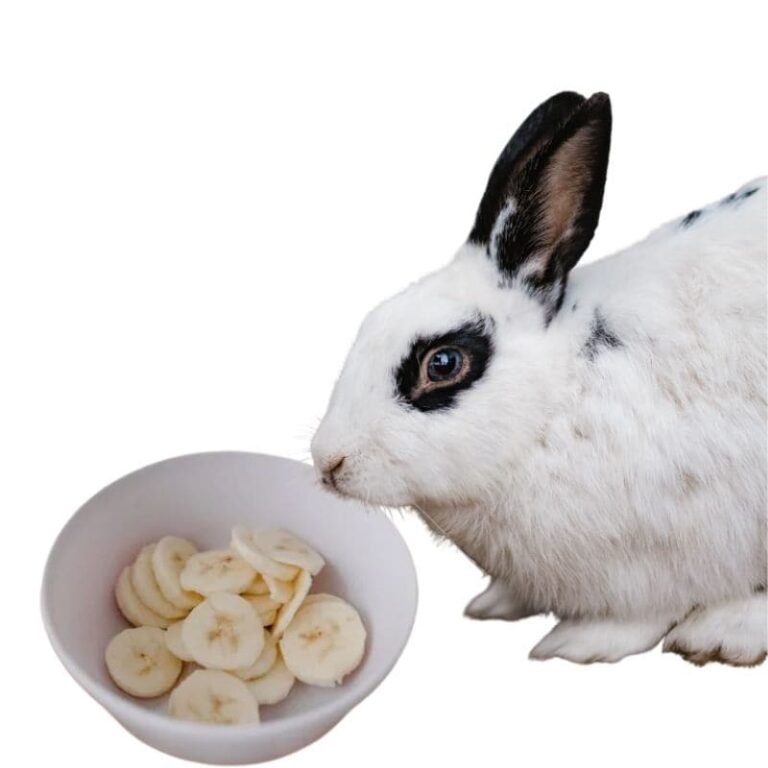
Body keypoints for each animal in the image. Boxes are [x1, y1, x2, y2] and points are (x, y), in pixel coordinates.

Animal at [310, 91, 767, 666]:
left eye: (443, 363)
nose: (328, 461)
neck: (558, 401)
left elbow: (643, 613)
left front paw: (579, 643)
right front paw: (496, 604)